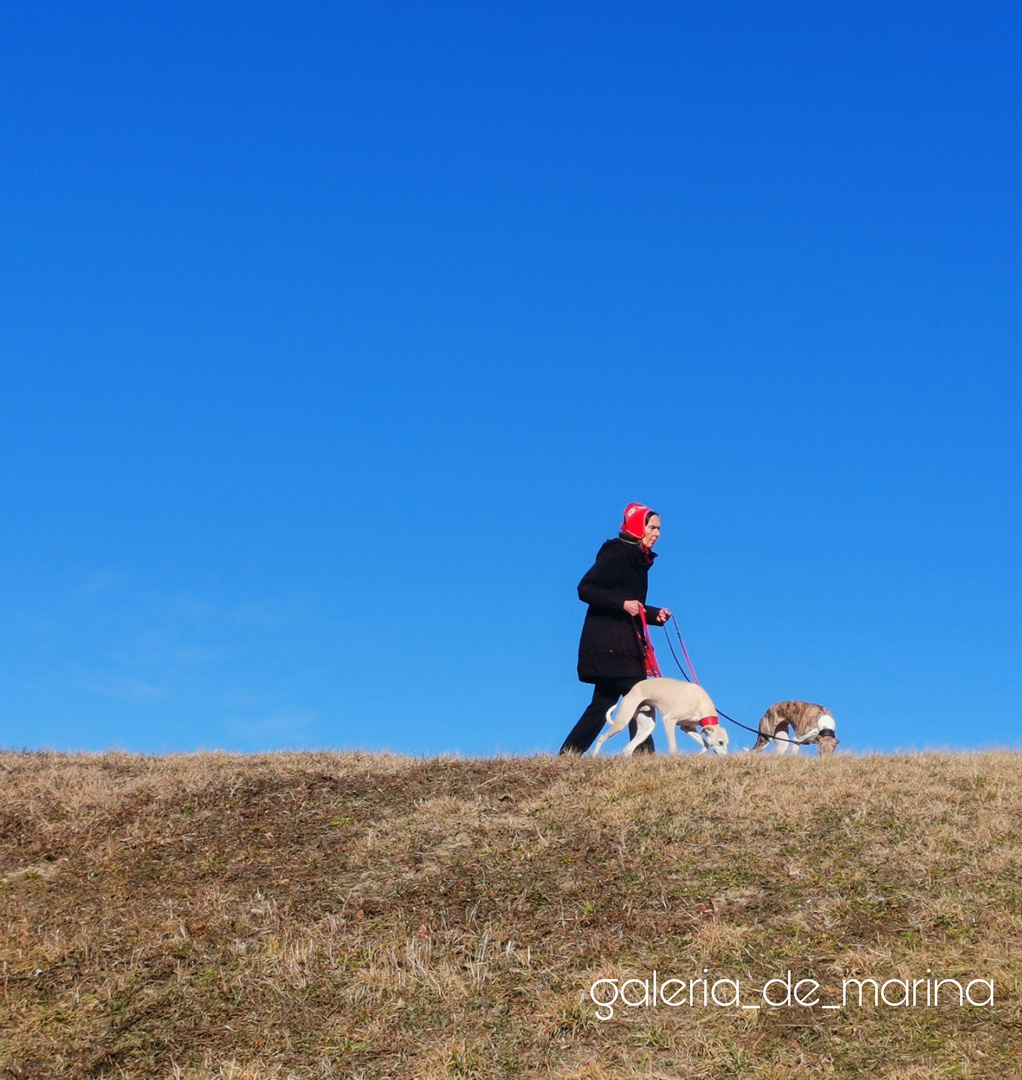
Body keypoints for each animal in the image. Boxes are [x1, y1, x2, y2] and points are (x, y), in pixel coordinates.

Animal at [587, 678, 725, 756]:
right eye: (721, 742)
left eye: (726, 743)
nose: (724, 757)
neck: (700, 702)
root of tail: (634, 687)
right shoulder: (669, 720)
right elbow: (673, 747)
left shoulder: (688, 727)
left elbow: (706, 744)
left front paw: (698, 754)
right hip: (623, 720)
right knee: (602, 737)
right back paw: (595, 756)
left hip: (646, 727)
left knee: (628, 749)